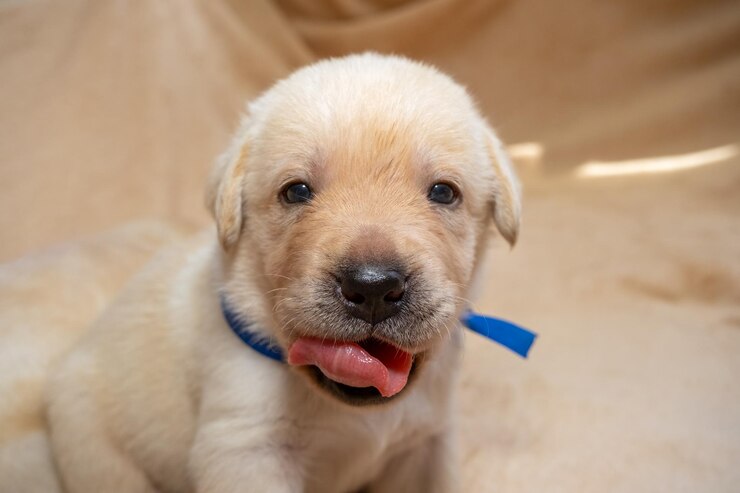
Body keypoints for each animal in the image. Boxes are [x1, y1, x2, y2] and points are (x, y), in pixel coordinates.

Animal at [44, 52, 520, 490]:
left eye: (444, 192)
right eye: (296, 192)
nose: (372, 287)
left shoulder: (425, 443)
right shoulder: (245, 445)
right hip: (95, 447)